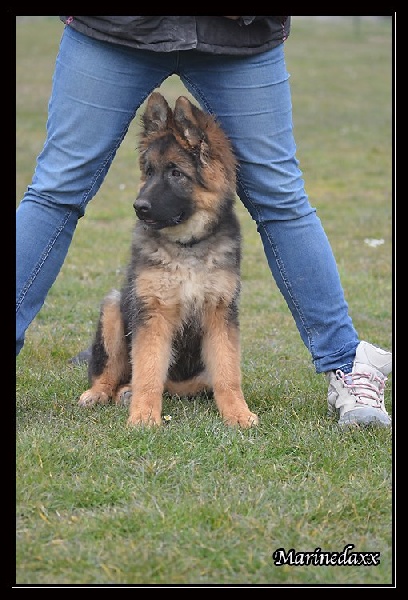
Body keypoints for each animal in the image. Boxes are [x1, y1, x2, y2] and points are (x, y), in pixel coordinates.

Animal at [78, 92, 258, 428]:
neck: (186, 248)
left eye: (176, 173)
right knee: (111, 371)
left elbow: (228, 372)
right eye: (149, 172)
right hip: (113, 308)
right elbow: (148, 371)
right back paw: (102, 393)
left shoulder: (220, 312)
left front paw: (237, 413)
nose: (139, 207)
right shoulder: (153, 312)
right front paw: (144, 417)